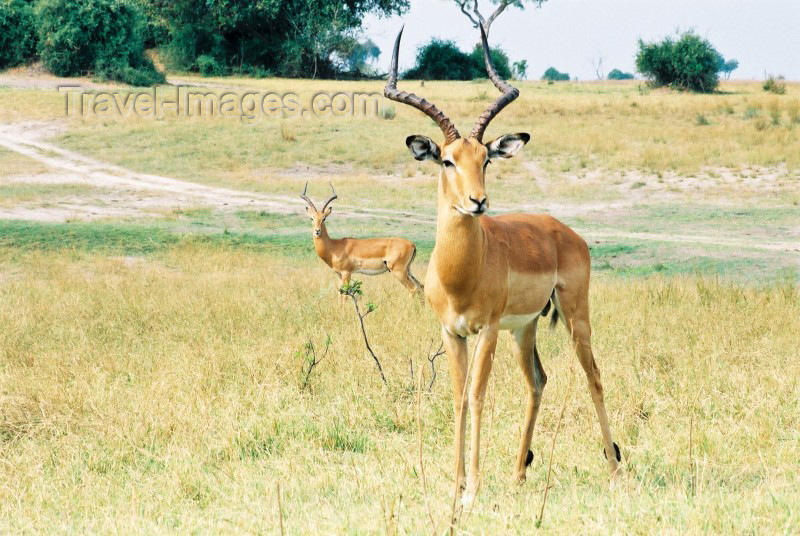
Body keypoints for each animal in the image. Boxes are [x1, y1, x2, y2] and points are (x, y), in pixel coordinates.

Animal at [384, 27, 620, 504]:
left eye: (486, 159)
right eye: (447, 159)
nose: (478, 201)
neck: (461, 275)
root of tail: (563, 230)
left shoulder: (487, 329)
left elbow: (477, 396)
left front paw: (472, 489)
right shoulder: (452, 332)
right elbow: (458, 397)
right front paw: (456, 482)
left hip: (574, 315)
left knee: (594, 376)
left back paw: (614, 472)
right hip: (525, 328)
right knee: (538, 381)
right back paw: (518, 473)